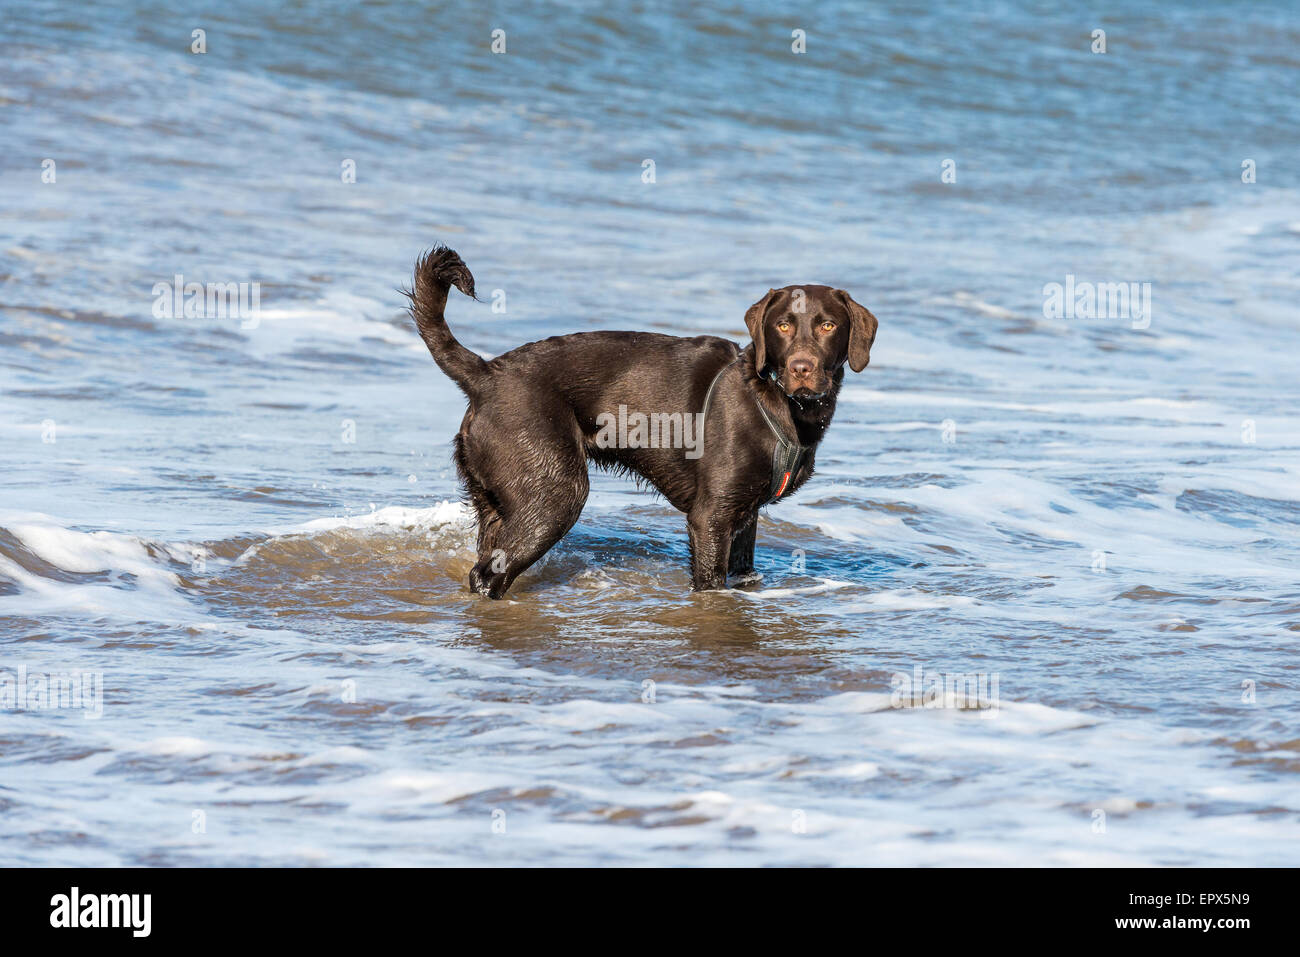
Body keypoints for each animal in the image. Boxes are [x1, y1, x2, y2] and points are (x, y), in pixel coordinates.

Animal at [405, 244, 873, 598]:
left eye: (827, 325)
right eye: (783, 326)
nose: (801, 368)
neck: (777, 404)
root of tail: (487, 374)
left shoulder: (744, 519)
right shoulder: (711, 518)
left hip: (499, 503)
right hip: (554, 494)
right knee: (488, 575)